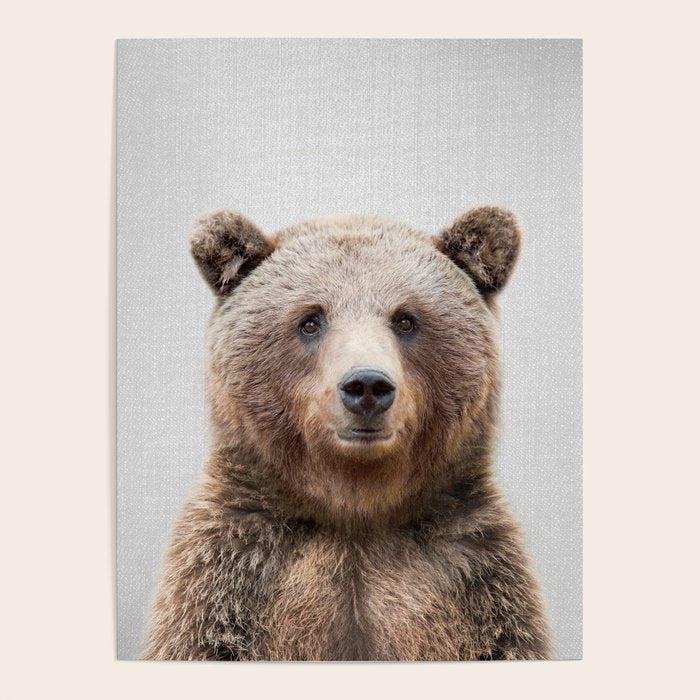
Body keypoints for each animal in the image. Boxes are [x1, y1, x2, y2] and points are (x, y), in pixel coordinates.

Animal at [144, 206, 552, 661]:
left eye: (405, 319)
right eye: (310, 320)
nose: (367, 386)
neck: (355, 508)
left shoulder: (477, 582)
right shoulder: (228, 576)